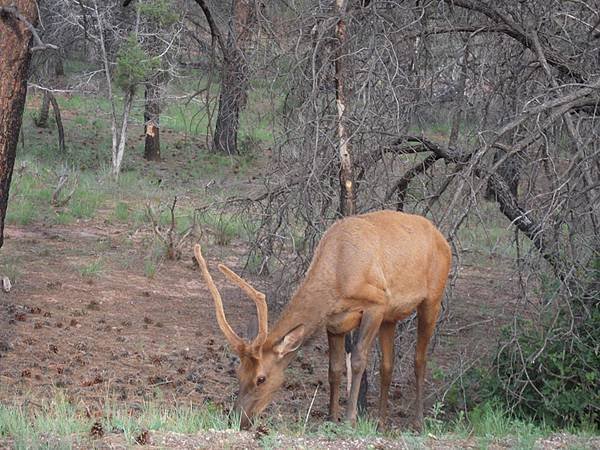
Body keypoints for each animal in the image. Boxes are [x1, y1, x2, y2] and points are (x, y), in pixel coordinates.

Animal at [195, 210, 452, 428]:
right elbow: (334, 368)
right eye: (238, 373)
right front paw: (331, 417)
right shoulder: (335, 323)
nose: (236, 419)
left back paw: (418, 422)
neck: (338, 278)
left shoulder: (378, 303)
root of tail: (443, 239)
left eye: (261, 378)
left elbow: (357, 360)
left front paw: (349, 419)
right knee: (388, 365)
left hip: (432, 298)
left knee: (420, 359)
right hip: (392, 317)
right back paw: (381, 423)